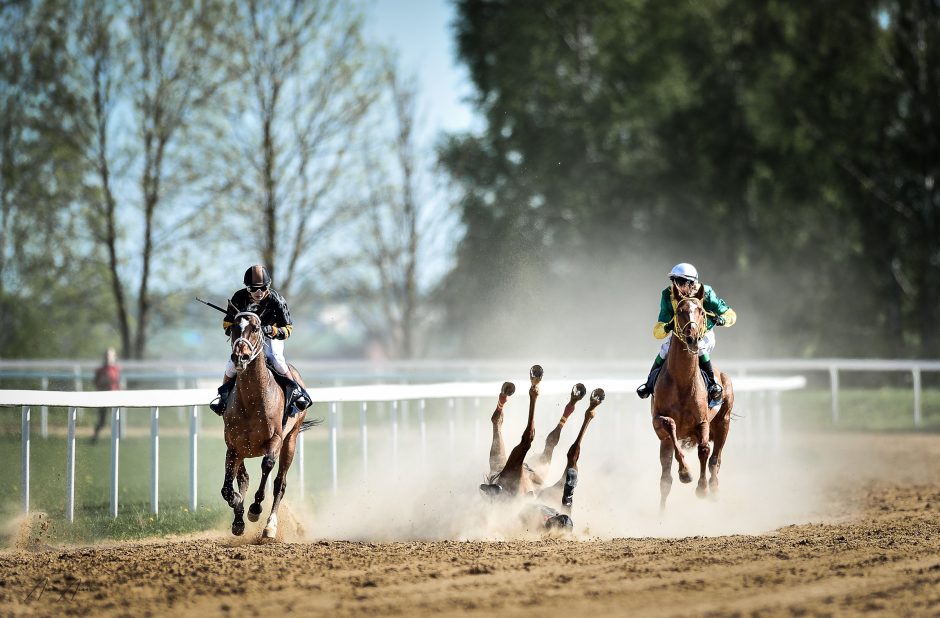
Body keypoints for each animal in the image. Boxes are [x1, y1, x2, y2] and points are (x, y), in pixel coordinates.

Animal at [219, 310, 320, 536]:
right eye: (235, 327)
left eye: (256, 328)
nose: (240, 357)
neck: (252, 400)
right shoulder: (234, 446)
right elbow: (228, 488)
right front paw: (238, 510)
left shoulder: (275, 439)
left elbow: (267, 465)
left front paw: (255, 508)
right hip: (244, 451)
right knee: (244, 478)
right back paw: (240, 518)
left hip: (291, 440)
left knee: (279, 483)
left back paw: (270, 526)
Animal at [652, 282, 736, 508]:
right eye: (679, 311)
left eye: (700, 310)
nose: (692, 338)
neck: (683, 382)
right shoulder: (657, 422)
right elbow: (670, 425)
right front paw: (685, 473)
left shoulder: (703, 422)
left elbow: (705, 449)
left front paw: (702, 488)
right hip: (665, 443)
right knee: (665, 479)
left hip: (724, 421)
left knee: (716, 458)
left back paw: (713, 488)